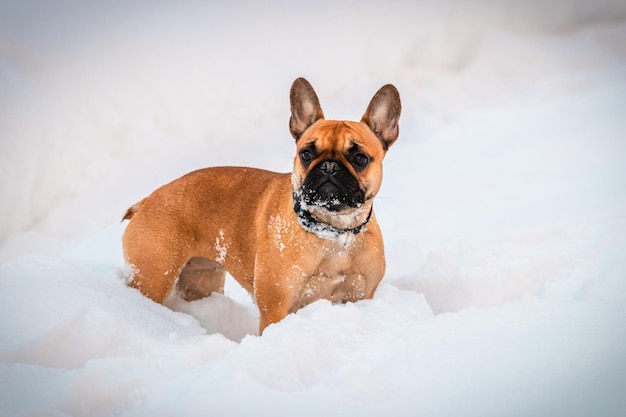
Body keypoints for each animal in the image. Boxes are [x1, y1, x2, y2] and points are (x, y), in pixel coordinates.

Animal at [122, 77, 400, 332]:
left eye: (360, 158)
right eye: (306, 154)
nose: (329, 166)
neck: (333, 231)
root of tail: (147, 200)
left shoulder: (360, 296)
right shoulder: (276, 309)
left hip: (200, 280)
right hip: (153, 277)